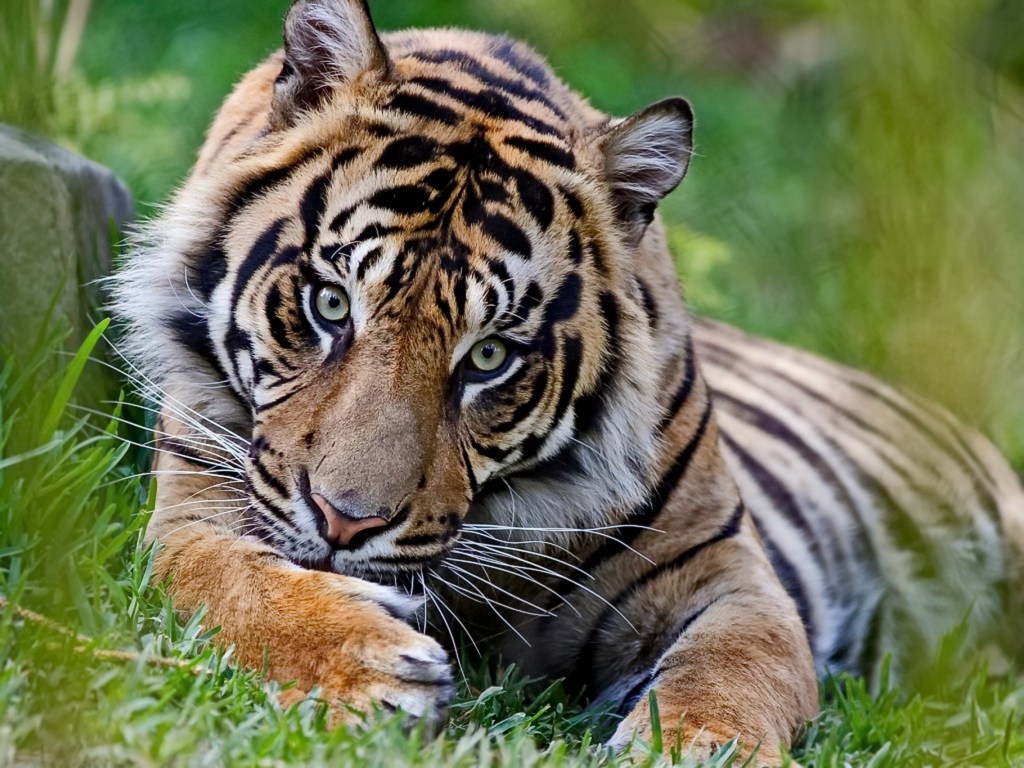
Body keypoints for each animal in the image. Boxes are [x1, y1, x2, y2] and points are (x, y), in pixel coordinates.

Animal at [111, 0, 1024, 763]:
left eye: (489, 357)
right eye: (331, 303)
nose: (346, 525)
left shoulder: (727, 571)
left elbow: (733, 671)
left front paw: (695, 750)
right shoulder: (197, 509)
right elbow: (235, 586)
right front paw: (373, 676)